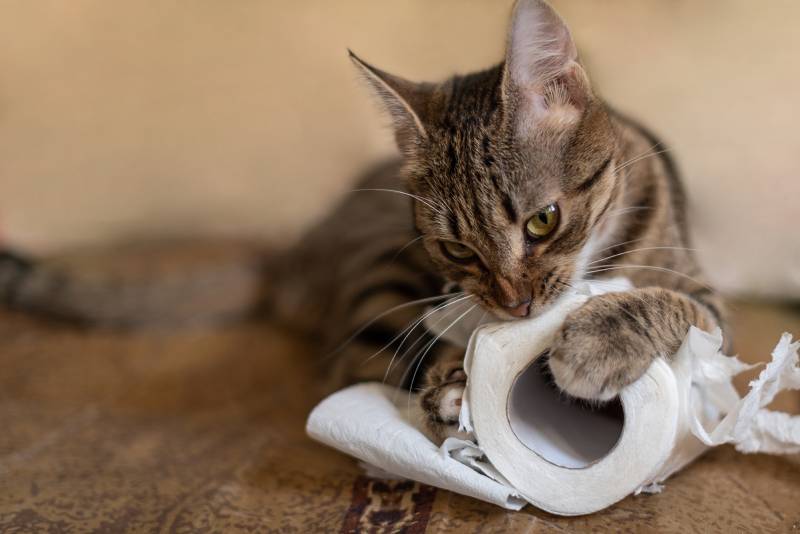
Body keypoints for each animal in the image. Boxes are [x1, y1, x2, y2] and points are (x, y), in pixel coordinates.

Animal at [1, 0, 724, 444]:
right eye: (458, 250)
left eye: (543, 222)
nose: (516, 308)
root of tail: (296, 249)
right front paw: (459, 381)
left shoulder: (705, 303)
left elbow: (661, 302)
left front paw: (595, 343)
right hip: (383, 281)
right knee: (363, 360)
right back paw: (446, 388)